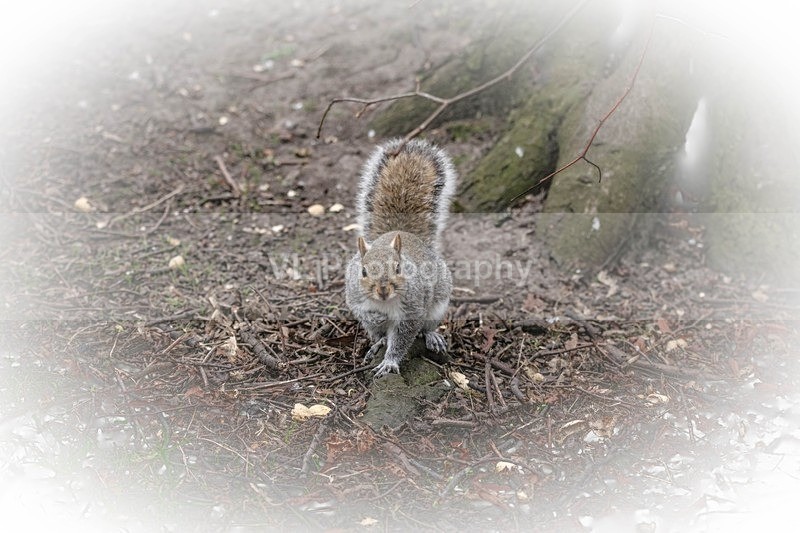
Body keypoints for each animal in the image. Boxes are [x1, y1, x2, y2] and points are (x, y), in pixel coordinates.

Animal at [345, 138, 457, 377]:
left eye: (398, 268)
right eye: (363, 271)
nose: (383, 290)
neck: (385, 303)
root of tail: (403, 233)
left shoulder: (412, 310)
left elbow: (402, 339)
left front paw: (389, 362)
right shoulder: (355, 295)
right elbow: (360, 310)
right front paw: (375, 317)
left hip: (438, 305)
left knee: (426, 327)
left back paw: (431, 336)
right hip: (372, 328)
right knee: (378, 334)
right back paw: (378, 342)